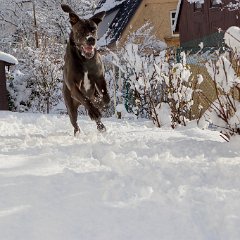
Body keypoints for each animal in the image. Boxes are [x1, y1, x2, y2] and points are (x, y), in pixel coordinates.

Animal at [62, 4, 110, 135]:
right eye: (81, 30)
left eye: (93, 29)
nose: (91, 39)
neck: (85, 59)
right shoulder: (73, 86)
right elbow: (84, 98)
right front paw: (94, 111)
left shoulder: (99, 77)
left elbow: (106, 97)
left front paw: (100, 103)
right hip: (70, 105)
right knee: (75, 122)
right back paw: (78, 132)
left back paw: (100, 125)